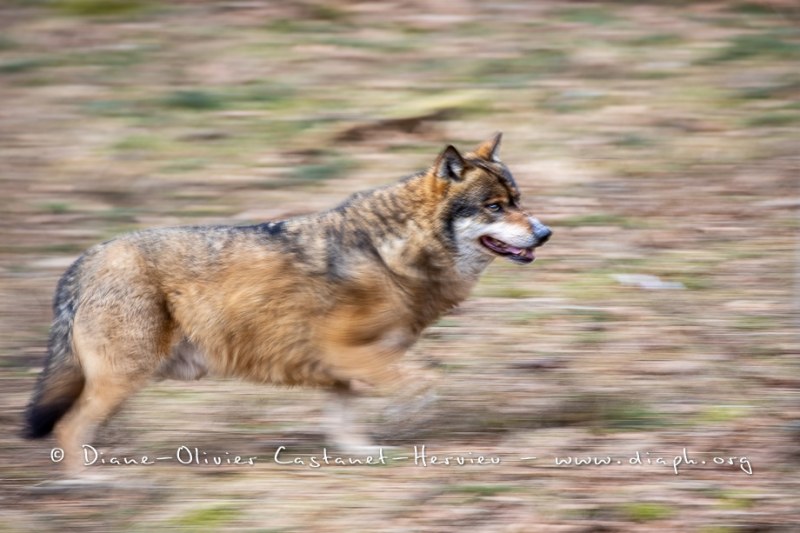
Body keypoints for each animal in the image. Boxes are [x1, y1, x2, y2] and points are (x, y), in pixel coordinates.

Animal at [23, 135, 552, 472]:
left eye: (518, 200)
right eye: (495, 208)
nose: (546, 232)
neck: (390, 254)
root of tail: (83, 260)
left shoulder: (344, 368)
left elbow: (345, 421)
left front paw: (364, 455)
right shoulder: (349, 352)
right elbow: (424, 384)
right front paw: (405, 418)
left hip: (123, 379)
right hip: (123, 377)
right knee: (68, 429)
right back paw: (93, 481)